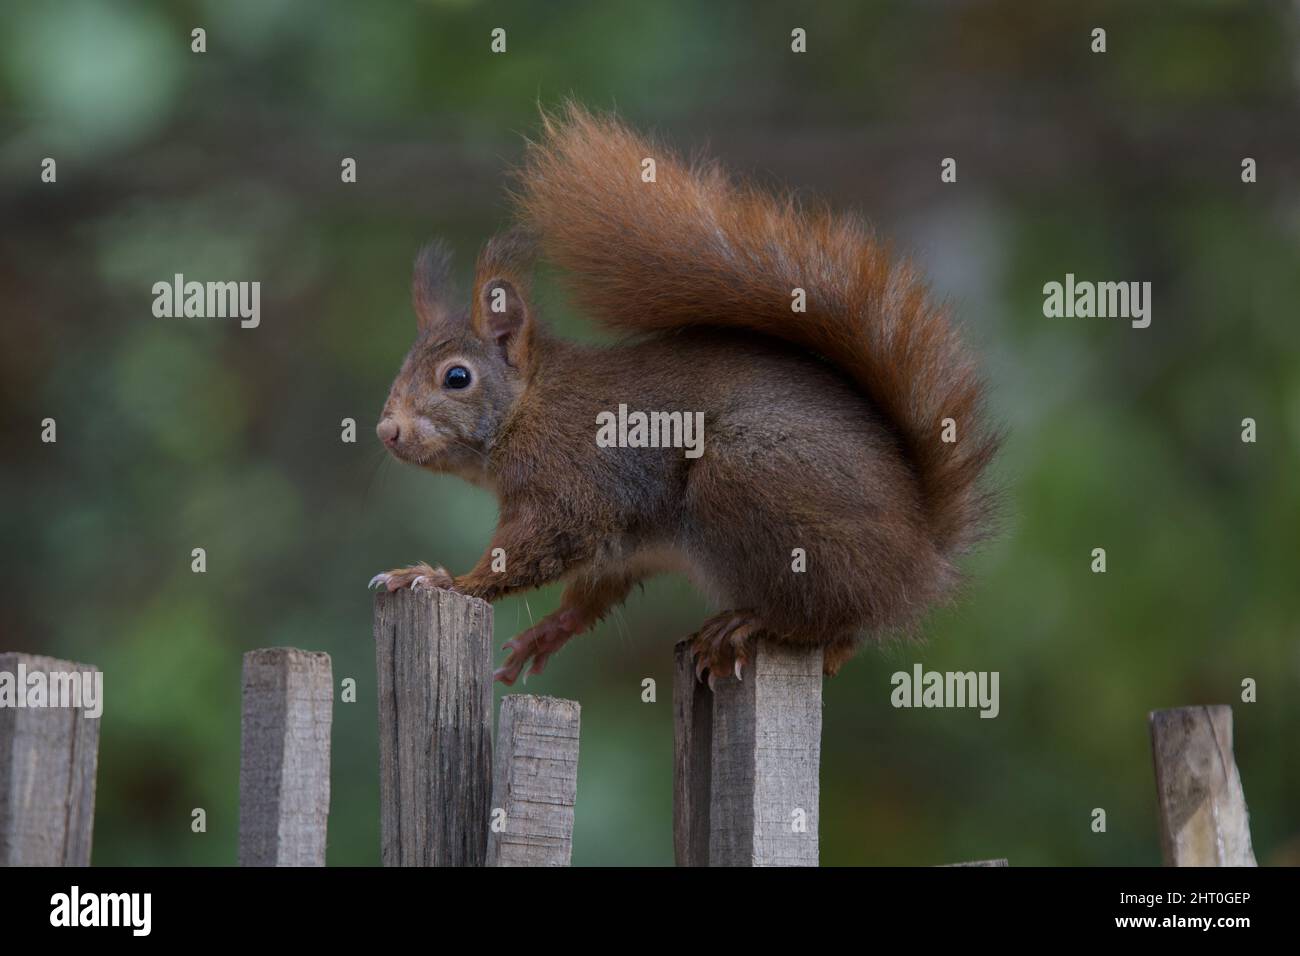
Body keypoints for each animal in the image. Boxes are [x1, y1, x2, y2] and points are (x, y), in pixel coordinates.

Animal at [370, 104, 1000, 685]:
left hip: (748, 478)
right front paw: (546, 633)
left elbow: (533, 552)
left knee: (831, 620)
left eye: (456, 378)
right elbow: (593, 590)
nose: (386, 431)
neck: (530, 407)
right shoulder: (621, 543)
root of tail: (921, 561)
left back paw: (753, 622)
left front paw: (442, 578)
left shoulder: (574, 488)